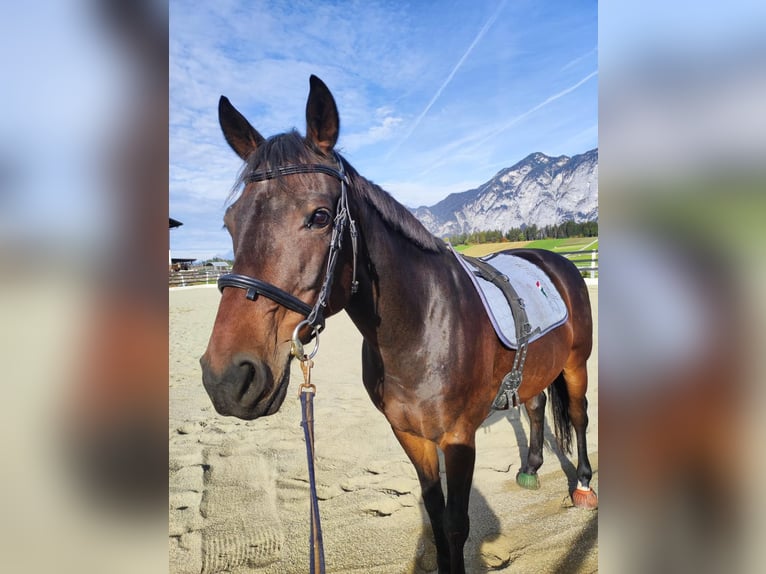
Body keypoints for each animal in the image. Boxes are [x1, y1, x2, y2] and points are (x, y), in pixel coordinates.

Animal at [200, 75, 597, 574]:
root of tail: (553, 260)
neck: (421, 328)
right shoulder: (410, 435)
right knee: (537, 403)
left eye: (320, 216)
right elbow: (435, 514)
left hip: (576, 365)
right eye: (230, 223)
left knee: (579, 416)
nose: (227, 378)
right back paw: (529, 469)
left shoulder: (458, 438)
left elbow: (456, 524)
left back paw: (582, 485)